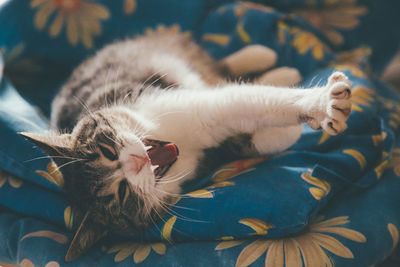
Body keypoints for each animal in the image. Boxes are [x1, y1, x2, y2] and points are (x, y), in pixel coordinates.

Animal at [18, 30, 352, 260]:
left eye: (108, 152)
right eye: (123, 193)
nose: (135, 162)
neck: (178, 143)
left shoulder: (172, 99)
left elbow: (248, 99)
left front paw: (320, 103)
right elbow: (245, 129)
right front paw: (289, 130)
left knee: (216, 65)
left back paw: (263, 57)